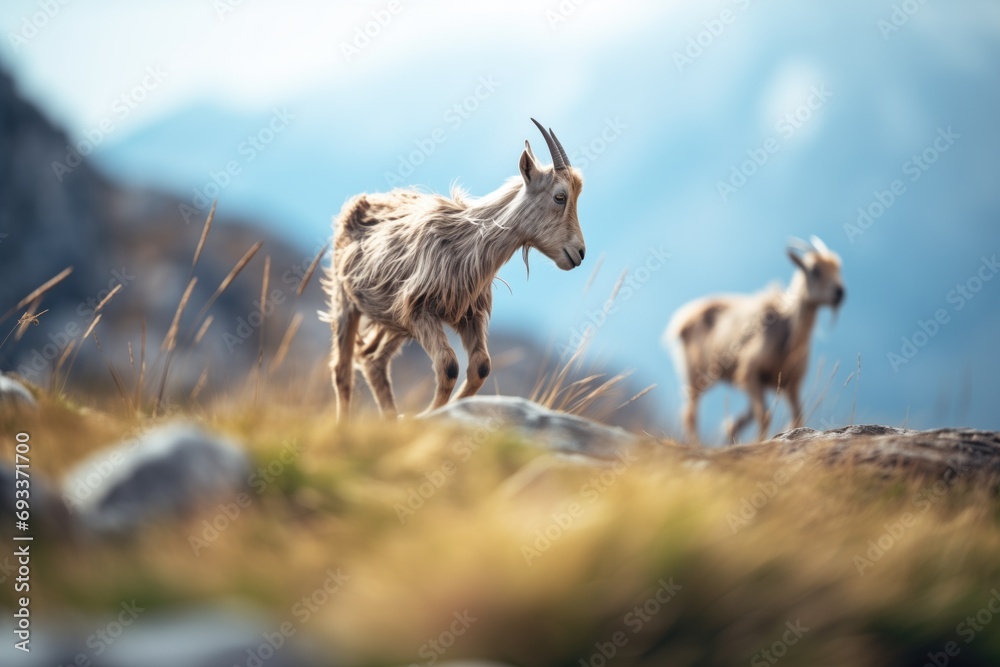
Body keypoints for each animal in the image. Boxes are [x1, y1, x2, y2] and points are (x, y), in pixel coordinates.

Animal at [323, 119, 586, 420]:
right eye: (560, 196)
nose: (580, 253)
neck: (467, 243)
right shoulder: (419, 310)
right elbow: (449, 366)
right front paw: (428, 415)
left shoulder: (469, 313)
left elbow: (481, 367)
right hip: (346, 300)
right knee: (343, 369)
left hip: (392, 320)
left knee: (373, 360)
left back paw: (391, 418)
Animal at [665, 236, 845, 444]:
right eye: (815, 270)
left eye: (838, 269)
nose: (840, 293)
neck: (788, 335)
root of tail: (681, 320)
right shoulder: (750, 373)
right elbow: (764, 416)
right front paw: (759, 441)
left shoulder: (790, 383)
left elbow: (796, 416)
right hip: (696, 373)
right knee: (689, 413)